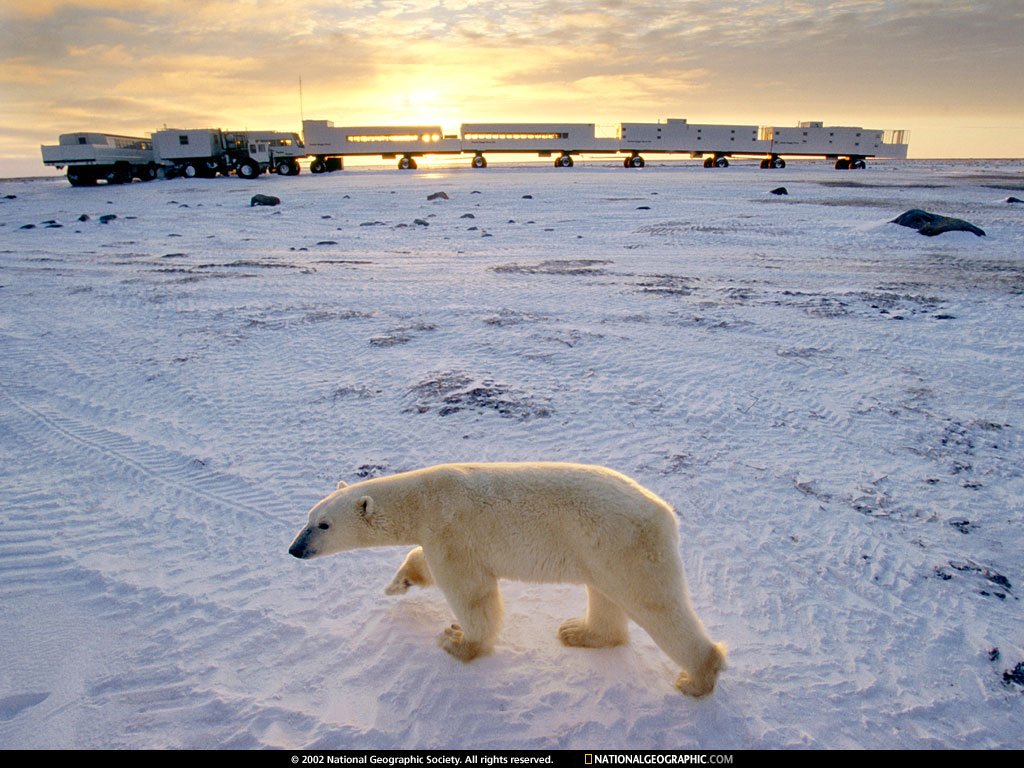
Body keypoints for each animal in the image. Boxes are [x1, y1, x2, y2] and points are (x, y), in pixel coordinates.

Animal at [284, 462, 724, 696]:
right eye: (308, 518)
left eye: (323, 525)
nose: (294, 549)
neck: (425, 497)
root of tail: (665, 514)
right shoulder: (437, 533)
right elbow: (422, 561)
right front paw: (397, 584)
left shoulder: (452, 530)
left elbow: (471, 593)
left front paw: (459, 642)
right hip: (600, 553)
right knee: (604, 596)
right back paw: (578, 632)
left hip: (622, 545)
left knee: (656, 605)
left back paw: (697, 677)